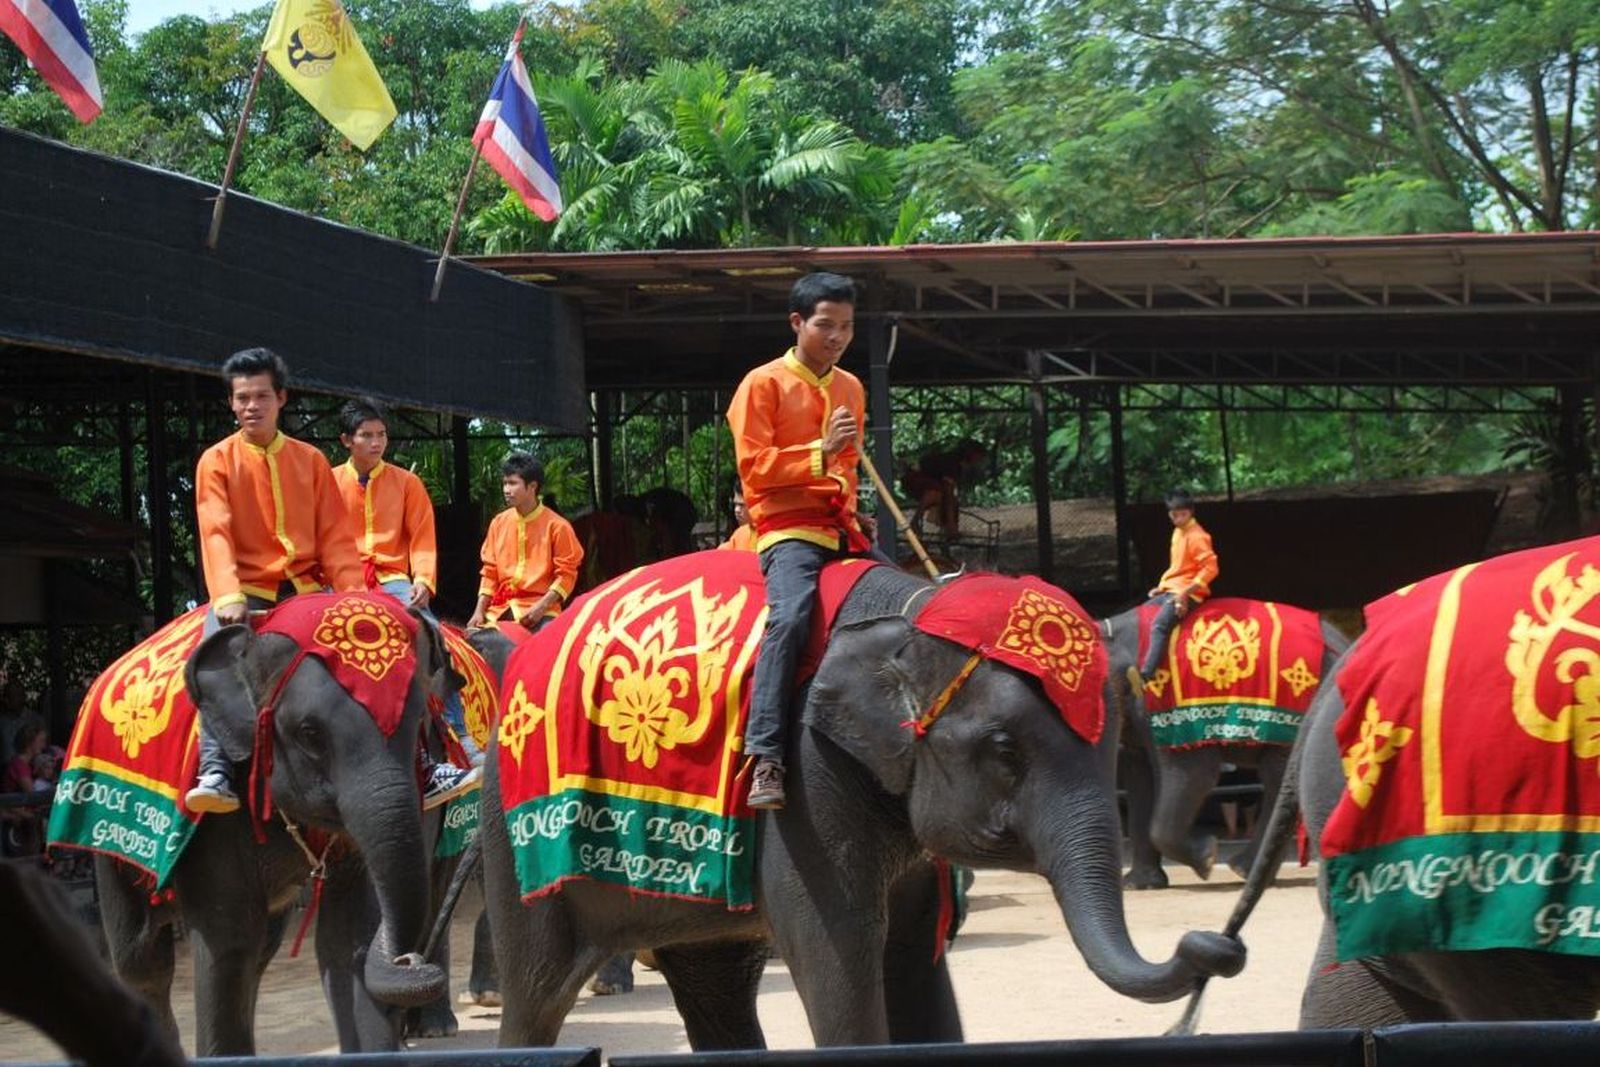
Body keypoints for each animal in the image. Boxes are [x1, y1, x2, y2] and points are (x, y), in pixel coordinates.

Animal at [93, 604, 460, 1055]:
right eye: (309, 733)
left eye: (419, 723)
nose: (408, 961)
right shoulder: (211, 826)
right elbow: (227, 942)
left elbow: (349, 936)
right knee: (141, 960)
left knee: (261, 950)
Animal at [480, 563, 1241, 1049]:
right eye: (1003, 748)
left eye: (1108, 743)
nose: (1216, 942)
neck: (908, 609)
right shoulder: (804, 781)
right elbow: (840, 954)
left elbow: (912, 956)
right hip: (515, 843)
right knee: (537, 993)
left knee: (716, 984)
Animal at [1100, 601, 1350, 895]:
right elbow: (1140, 781)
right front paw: (1140, 885)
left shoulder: (1165, 704)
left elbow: (1197, 772)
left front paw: (1207, 858)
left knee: (1277, 777)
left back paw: (1243, 870)